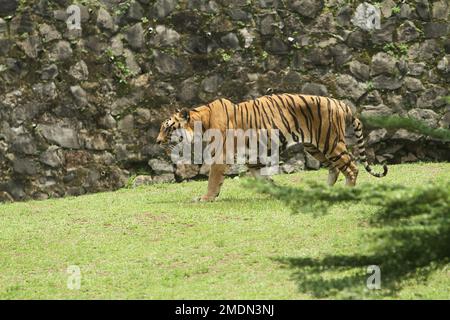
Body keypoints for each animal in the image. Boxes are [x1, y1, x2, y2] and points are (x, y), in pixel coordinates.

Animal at [156, 94, 388, 201]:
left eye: (166, 127)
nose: (157, 141)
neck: (201, 122)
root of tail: (341, 104)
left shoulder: (221, 156)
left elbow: (213, 180)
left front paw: (205, 198)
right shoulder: (253, 158)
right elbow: (263, 178)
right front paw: (276, 191)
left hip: (330, 143)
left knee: (351, 167)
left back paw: (346, 192)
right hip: (315, 147)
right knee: (335, 168)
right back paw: (325, 191)